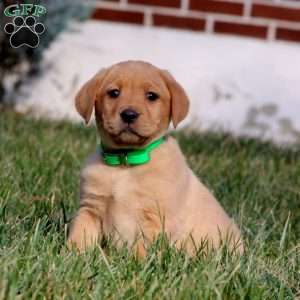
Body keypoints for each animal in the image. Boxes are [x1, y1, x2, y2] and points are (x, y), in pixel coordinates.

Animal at [67, 60, 243, 255]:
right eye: (114, 93)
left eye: (151, 96)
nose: (129, 114)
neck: (125, 162)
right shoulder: (90, 209)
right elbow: (79, 235)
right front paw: (71, 255)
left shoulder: (155, 219)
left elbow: (141, 249)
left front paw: (135, 261)